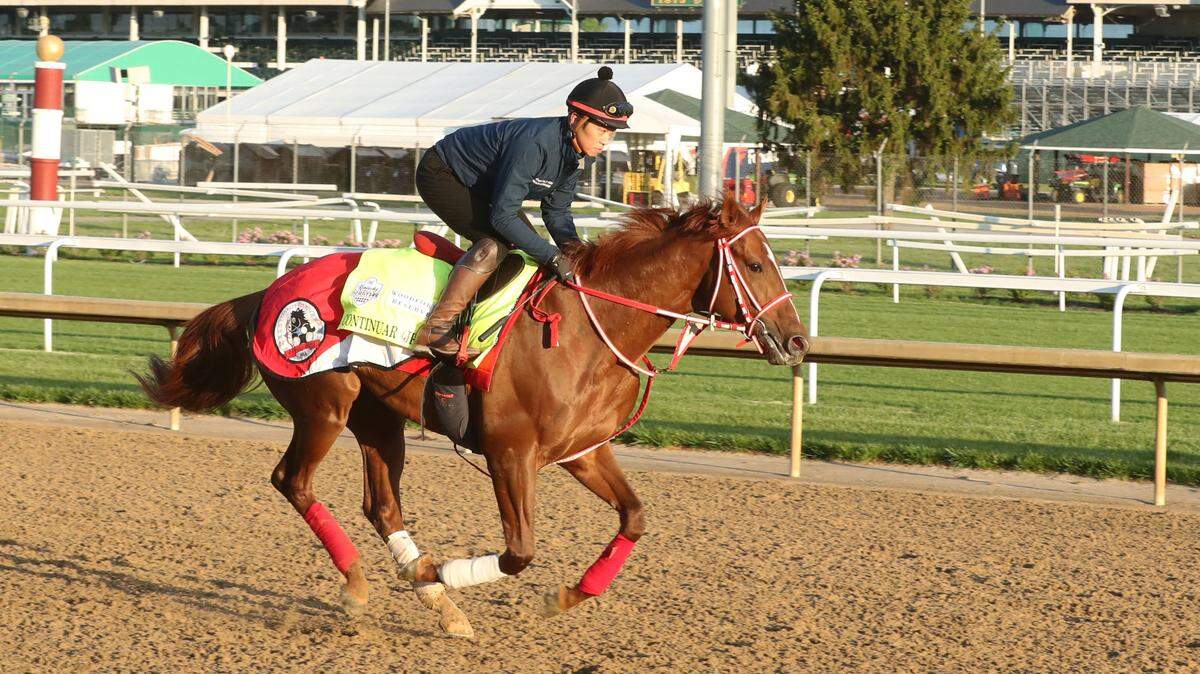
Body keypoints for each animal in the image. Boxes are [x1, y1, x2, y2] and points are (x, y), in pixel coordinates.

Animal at [136, 191, 810, 638]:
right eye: (755, 264)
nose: (797, 341)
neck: (589, 330)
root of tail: (267, 293)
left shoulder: (583, 451)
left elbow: (635, 518)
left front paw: (568, 597)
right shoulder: (511, 452)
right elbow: (520, 552)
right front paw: (448, 571)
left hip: (378, 419)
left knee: (381, 505)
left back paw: (438, 600)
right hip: (324, 406)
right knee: (293, 481)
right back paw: (363, 582)